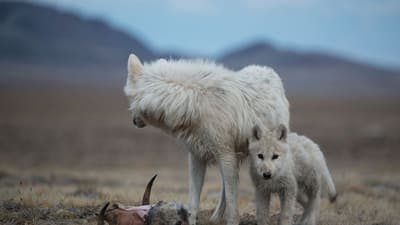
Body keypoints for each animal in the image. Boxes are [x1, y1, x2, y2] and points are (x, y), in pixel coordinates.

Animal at [123, 54, 290, 225]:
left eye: (129, 99)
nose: (134, 121)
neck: (193, 102)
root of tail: (269, 71)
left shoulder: (225, 155)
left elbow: (232, 205)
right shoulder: (197, 156)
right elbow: (193, 203)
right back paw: (215, 218)